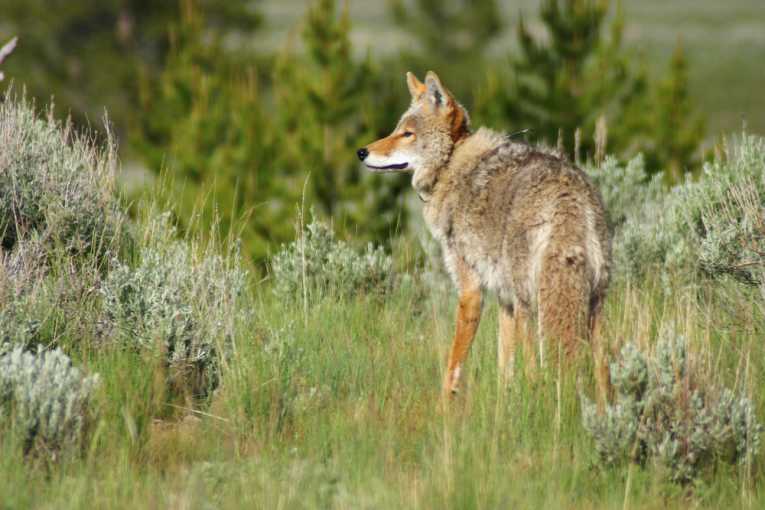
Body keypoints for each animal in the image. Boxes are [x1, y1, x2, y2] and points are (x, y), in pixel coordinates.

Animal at [357, 71, 612, 395]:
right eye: (397, 130)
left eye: (407, 134)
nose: (361, 152)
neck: (451, 164)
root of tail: (568, 199)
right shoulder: (504, 299)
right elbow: (504, 366)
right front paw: (503, 403)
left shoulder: (471, 291)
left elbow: (453, 365)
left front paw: (444, 404)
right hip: (592, 308)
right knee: (603, 373)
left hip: (533, 308)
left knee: (537, 371)